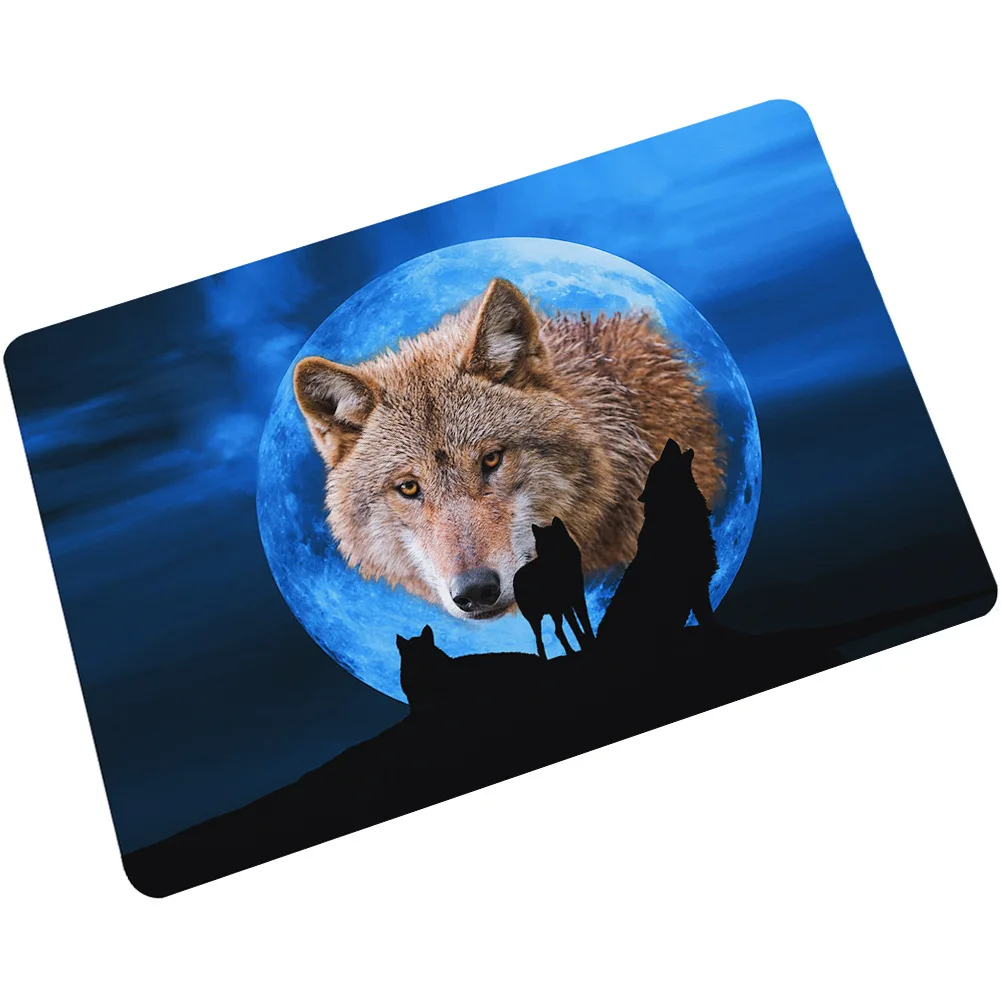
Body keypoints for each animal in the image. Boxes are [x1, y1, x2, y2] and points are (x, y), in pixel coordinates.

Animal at [513, 518, 594, 659]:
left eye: (553, 542)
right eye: (542, 546)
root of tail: (514, 578)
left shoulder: (578, 598)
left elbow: (585, 623)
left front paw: (591, 642)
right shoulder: (566, 605)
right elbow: (576, 628)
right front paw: (585, 646)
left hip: (555, 613)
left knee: (557, 632)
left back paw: (570, 652)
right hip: (536, 619)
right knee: (539, 642)